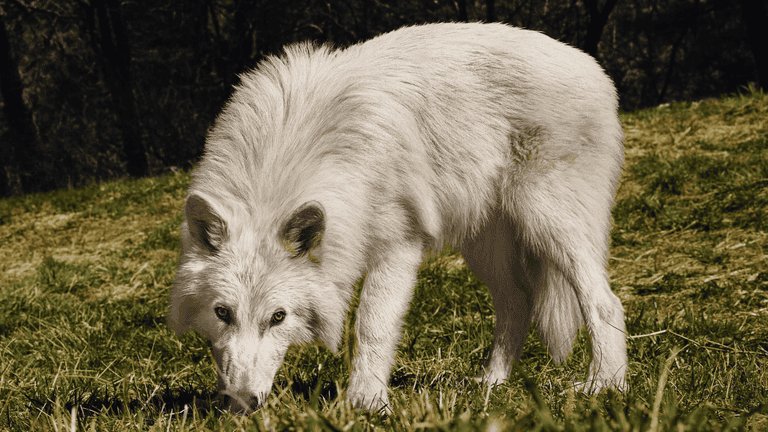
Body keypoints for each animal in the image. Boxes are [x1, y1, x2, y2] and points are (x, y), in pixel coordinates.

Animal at [168, 22, 627, 414]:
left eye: (278, 317)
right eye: (222, 313)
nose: (241, 404)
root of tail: (591, 65)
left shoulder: (399, 246)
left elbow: (372, 326)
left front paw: (366, 403)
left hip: (548, 223)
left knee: (604, 301)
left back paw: (605, 385)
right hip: (485, 248)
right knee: (518, 303)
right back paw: (492, 383)